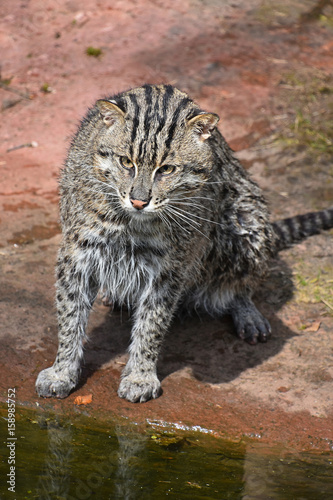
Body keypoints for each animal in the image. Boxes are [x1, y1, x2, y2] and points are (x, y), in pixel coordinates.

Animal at [35, 83, 332, 402]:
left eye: (166, 170)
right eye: (125, 162)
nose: (139, 200)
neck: (132, 222)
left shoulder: (170, 266)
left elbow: (152, 322)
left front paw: (140, 374)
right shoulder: (77, 252)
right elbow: (70, 315)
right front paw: (62, 370)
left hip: (248, 220)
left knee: (241, 278)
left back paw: (245, 309)